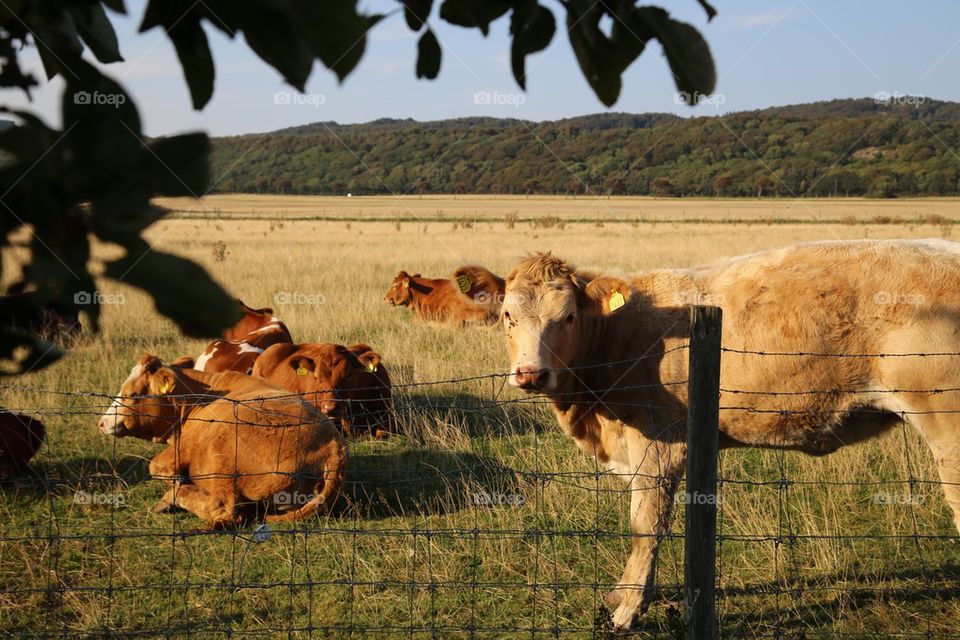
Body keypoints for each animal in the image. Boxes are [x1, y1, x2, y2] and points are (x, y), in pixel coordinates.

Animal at [96, 352, 344, 528]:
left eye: (132, 395)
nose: (102, 422)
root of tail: (333, 445)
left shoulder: (181, 450)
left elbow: (156, 467)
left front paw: (176, 485)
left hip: (222, 453)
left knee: (225, 510)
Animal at [498, 241, 960, 632]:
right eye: (507, 316)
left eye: (568, 317)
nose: (531, 374)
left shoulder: (659, 442)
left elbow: (645, 525)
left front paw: (627, 611)